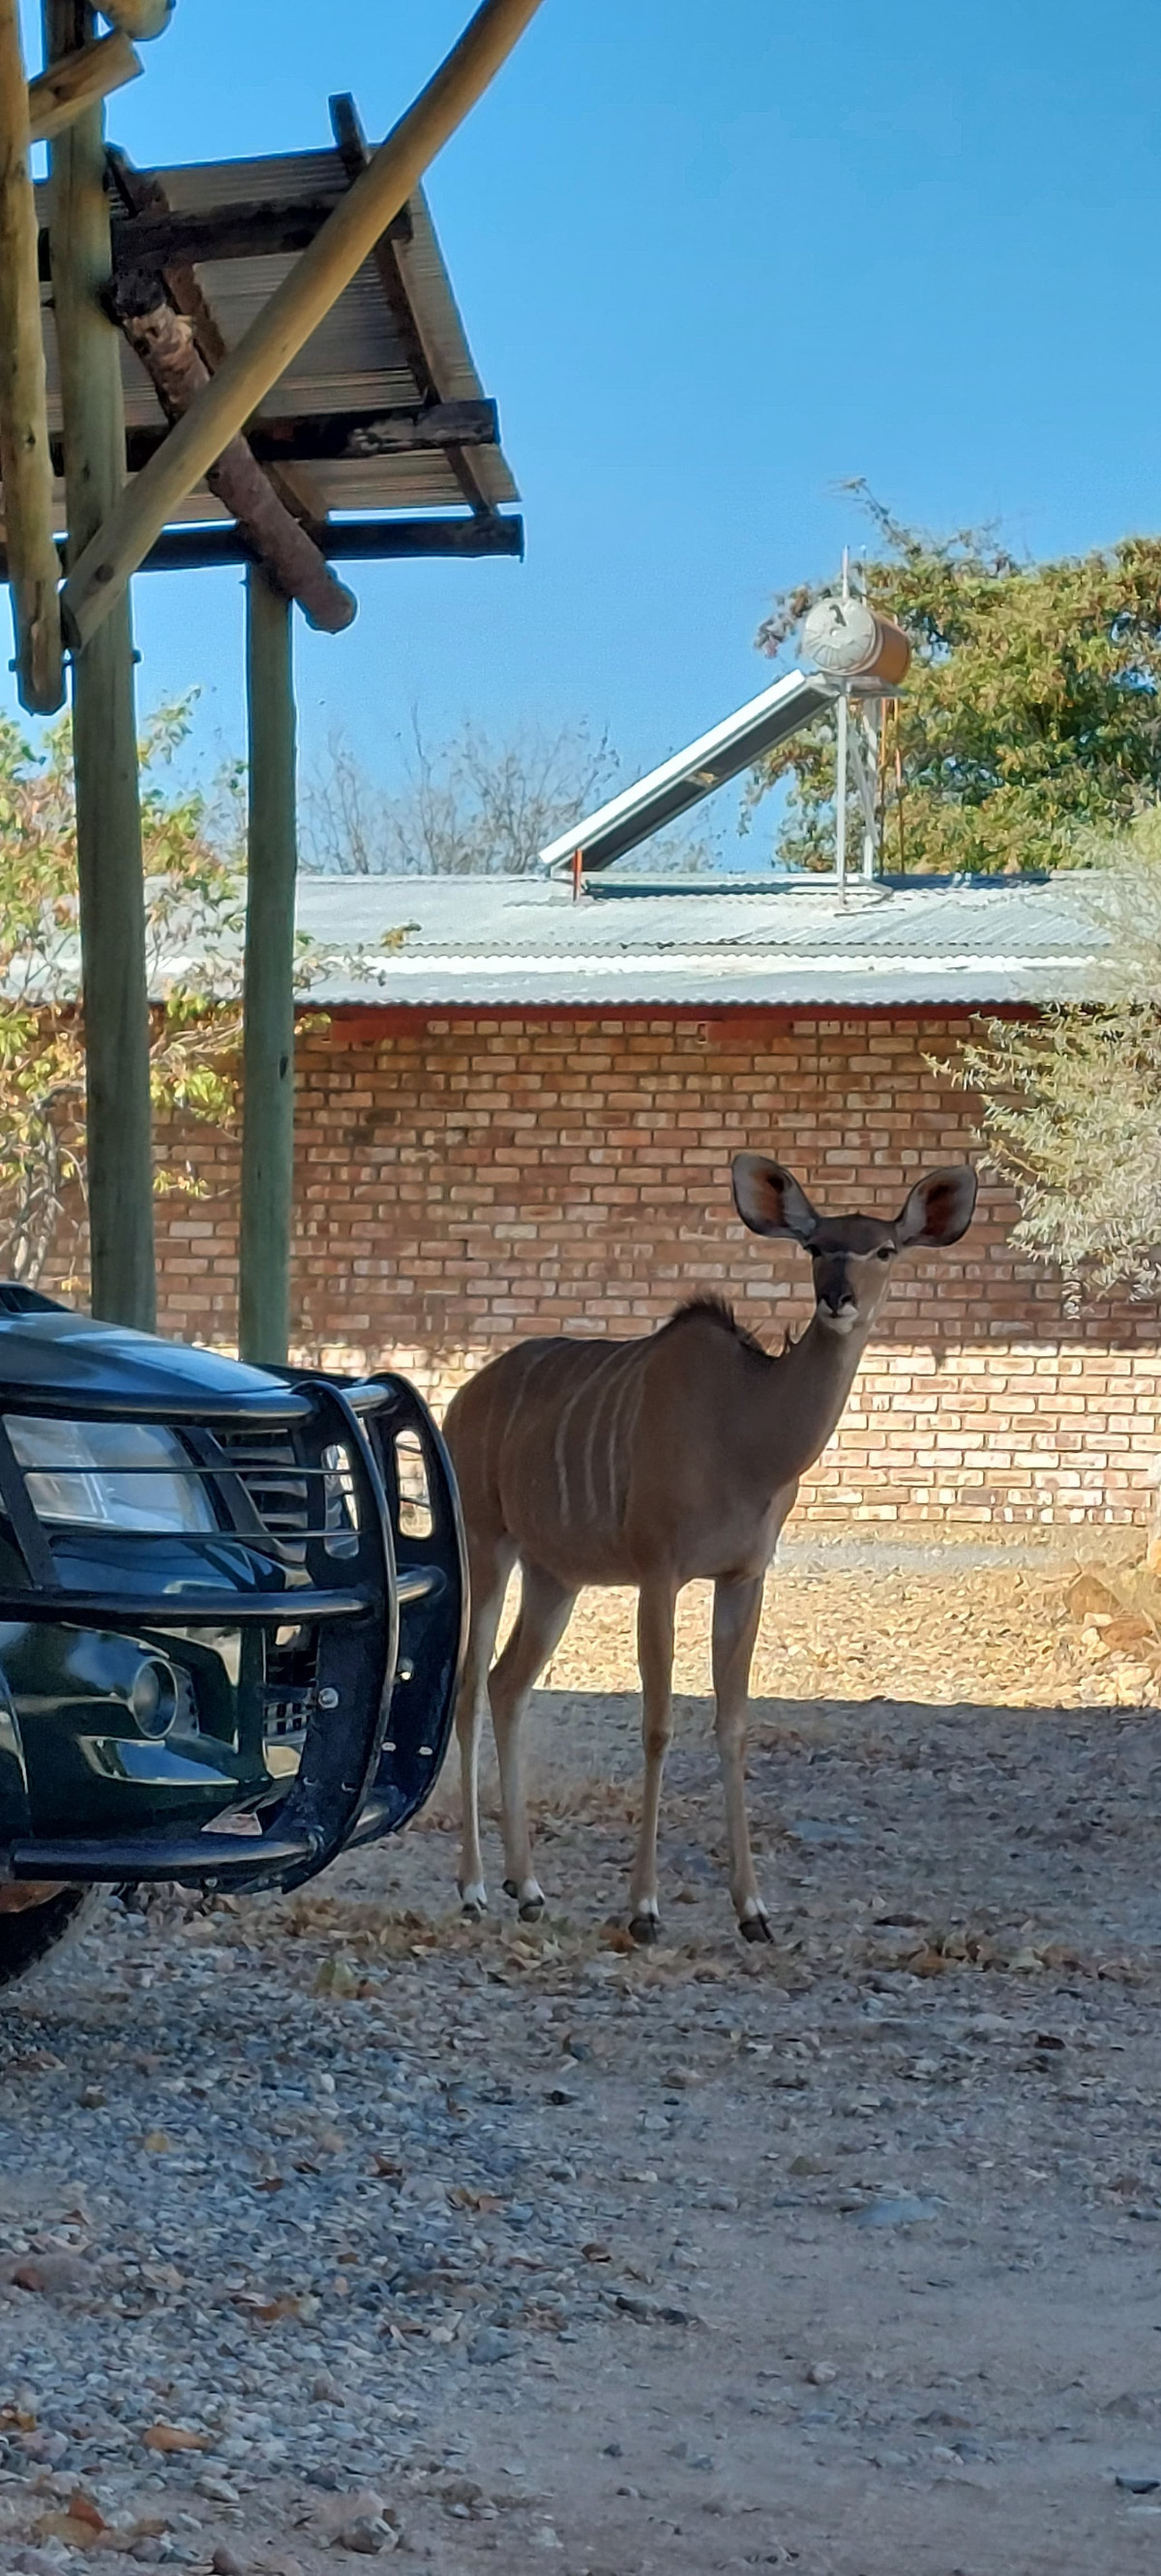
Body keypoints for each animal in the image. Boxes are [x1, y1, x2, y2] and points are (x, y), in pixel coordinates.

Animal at [445, 1159, 983, 1937]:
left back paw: (531, 1888)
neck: (746, 1433)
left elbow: (732, 1725)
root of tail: (458, 1403)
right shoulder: (659, 1571)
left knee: (506, 1683)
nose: (838, 1298)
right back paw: (476, 1887)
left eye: (885, 1248)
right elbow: (659, 1723)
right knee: (468, 1689)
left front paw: (753, 1909)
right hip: (488, 1545)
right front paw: (643, 1907)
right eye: (815, 1246)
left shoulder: (743, 1577)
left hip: (555, 1574)